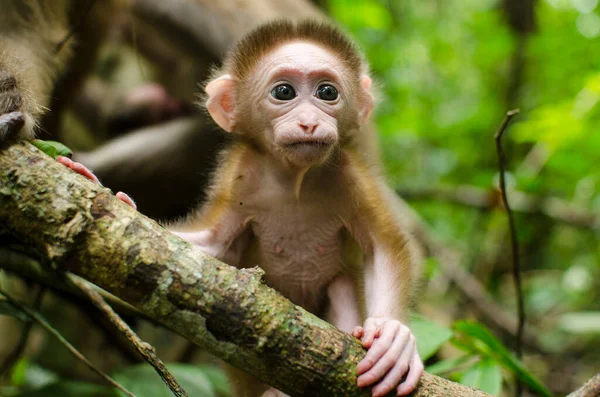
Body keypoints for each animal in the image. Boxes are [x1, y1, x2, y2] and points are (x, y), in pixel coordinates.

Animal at [56, 19, 422, 396]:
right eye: (284, 92)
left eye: (327, 93)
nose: (309, 122)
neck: (294, 181)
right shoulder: (239, 177)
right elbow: (211, 244)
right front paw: (110, 192)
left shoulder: (350, 175)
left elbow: (382, 246)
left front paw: (392, 336)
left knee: (340, 283)